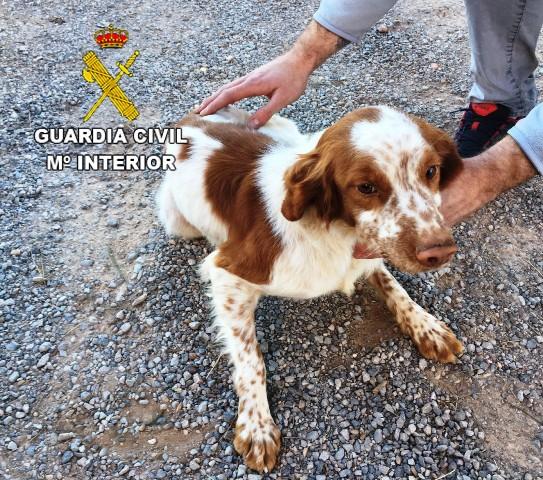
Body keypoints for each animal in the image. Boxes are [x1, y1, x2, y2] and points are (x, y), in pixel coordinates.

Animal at [156, 106, 464, 472]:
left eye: (431, 171)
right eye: (365, 186)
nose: (440, 251)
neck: (333, 228)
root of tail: (190, 118)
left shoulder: (370, 253)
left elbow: (393, 285)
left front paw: (426, 326)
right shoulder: (227, 271)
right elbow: (250, 357)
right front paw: (257, 424)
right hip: (177, 222)